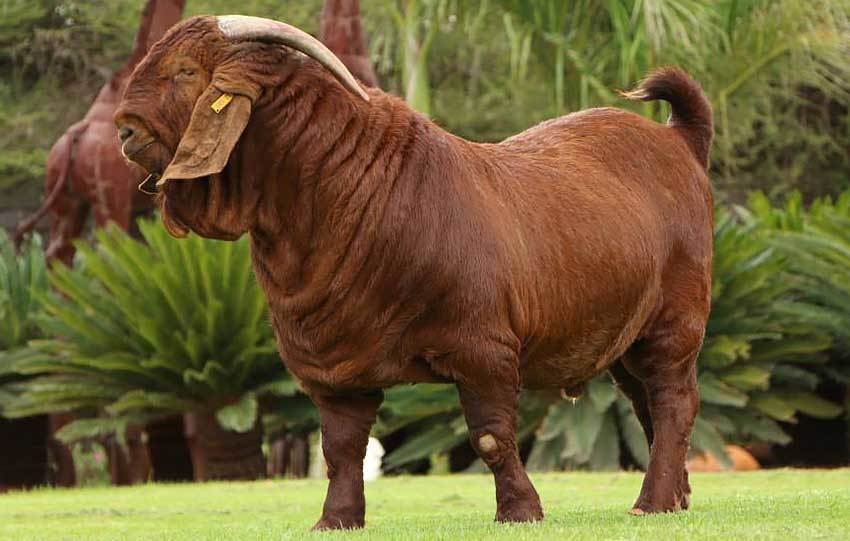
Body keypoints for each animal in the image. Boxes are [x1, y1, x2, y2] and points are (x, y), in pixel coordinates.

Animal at [115, 15, 713, 530]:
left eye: (185, 71)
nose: (123, 128)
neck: (347, 195)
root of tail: (679, 139)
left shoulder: (483, 348)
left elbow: (491, 437)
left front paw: (520, 511)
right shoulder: (332, 367)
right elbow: (339, 449)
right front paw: (336, 520)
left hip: (675, 319)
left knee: (673, 402)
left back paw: (652, 502)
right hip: (625, 337)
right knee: (646, 404)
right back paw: (676, 498)